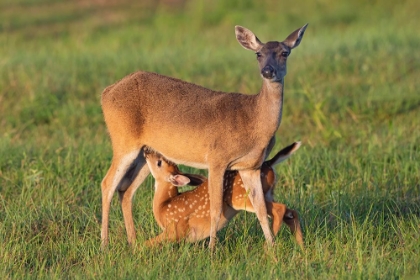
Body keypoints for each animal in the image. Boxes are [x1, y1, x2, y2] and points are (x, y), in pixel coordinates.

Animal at [144, 142, 302, 247]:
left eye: (159, 162)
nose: (146, 151)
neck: (164, 205)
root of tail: (269, 163)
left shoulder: (175, 229)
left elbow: (147, 242)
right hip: (268, 193)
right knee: (291, 212)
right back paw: (301, 246)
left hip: (241, 198)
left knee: (279, 209)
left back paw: (270, 243)